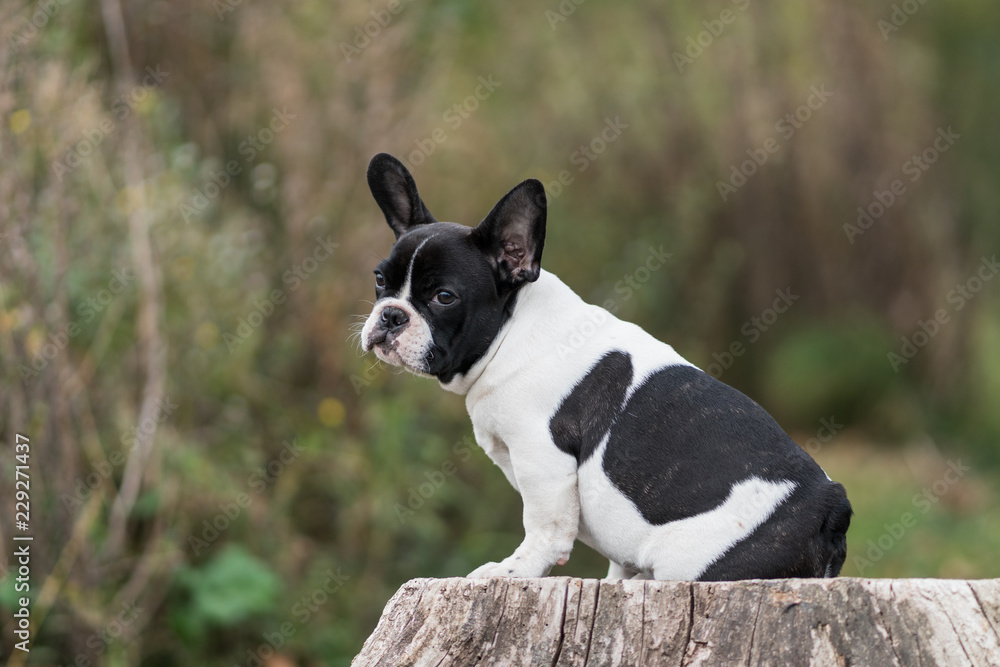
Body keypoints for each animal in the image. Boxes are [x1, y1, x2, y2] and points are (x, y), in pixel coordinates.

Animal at [360, 153, 852, 580]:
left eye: (444, 297)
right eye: (380, 280)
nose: (391, 315)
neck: (510, 331)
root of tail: (832, 507)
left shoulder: (542, 457)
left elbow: (544, 529)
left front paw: (514, 571)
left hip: (697, 565)